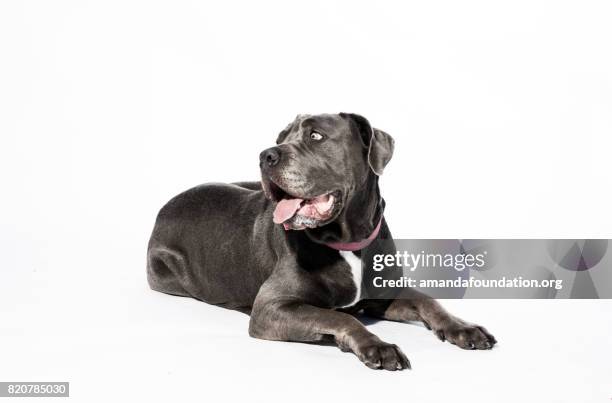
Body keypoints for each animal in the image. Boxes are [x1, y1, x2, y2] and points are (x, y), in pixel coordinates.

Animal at [148, 112, 498, 370]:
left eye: (315, 136)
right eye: (281, 138)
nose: (266, 154)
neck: (348, 241)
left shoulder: (384, 291)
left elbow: (429, 301)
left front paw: (463, 328)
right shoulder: (271, 307)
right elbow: (338, 315)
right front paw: (376, 346)